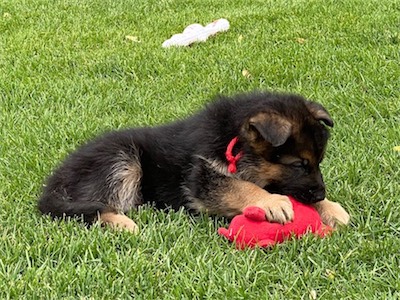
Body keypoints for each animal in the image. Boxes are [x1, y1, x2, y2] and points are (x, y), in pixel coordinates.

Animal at [37, 91, 350, 232]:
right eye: (298, 165)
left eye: (318, 162)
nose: (320, 193)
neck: (235, 141)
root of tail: (54, 182)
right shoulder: (201, 180)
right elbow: (240, 187)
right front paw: (271, 202)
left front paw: (329, 208)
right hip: (122, 159)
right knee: (89, 208)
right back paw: (121, 222)